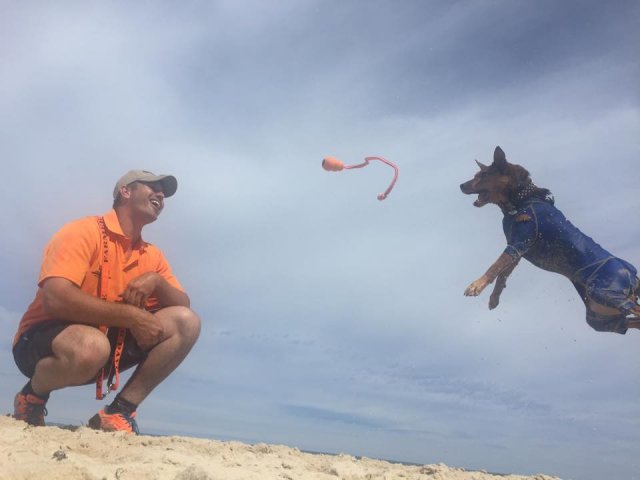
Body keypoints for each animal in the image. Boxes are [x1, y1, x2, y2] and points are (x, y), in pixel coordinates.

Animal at [460, 146, 640, 334]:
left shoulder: (518, 244)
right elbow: (502, 274)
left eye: (483, 175)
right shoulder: (517, 251)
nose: (461, 185)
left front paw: (475, 286)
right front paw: (494, 298)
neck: (521, 200)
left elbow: (494, 267)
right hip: (599, 316)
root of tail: (632, 273)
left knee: (636, 310)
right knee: (627, 322)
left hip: (606, 293)